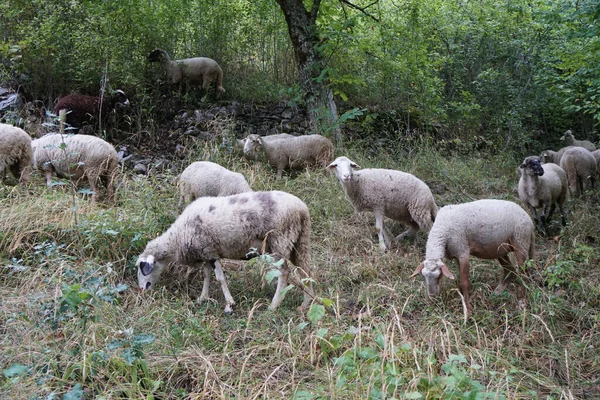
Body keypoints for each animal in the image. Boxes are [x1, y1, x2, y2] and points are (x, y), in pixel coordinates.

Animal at [136, 189, 314, 314]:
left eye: (142, 268)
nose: (142, 290)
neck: (177, 238)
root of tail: (302, 210)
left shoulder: (211, 252)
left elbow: (220, 278)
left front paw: (230, 302)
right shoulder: (206, 252)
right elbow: (206, 276)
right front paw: (203, 298)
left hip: (279, 242)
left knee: (284, 273)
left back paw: (274, 305)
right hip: (299, 243)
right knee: (307, 271)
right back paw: (305, 305)